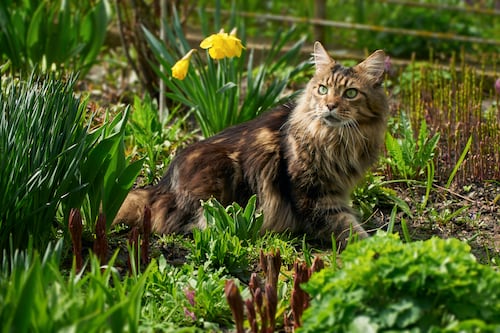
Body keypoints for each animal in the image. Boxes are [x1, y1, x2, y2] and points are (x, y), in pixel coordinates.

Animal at [115, 41, 388, 248]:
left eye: (350, 93)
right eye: (322, 89)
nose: (329, 105)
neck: (335, 140)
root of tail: (162, 185)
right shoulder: (314, 197)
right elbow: (349, 229)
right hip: (221, 175)